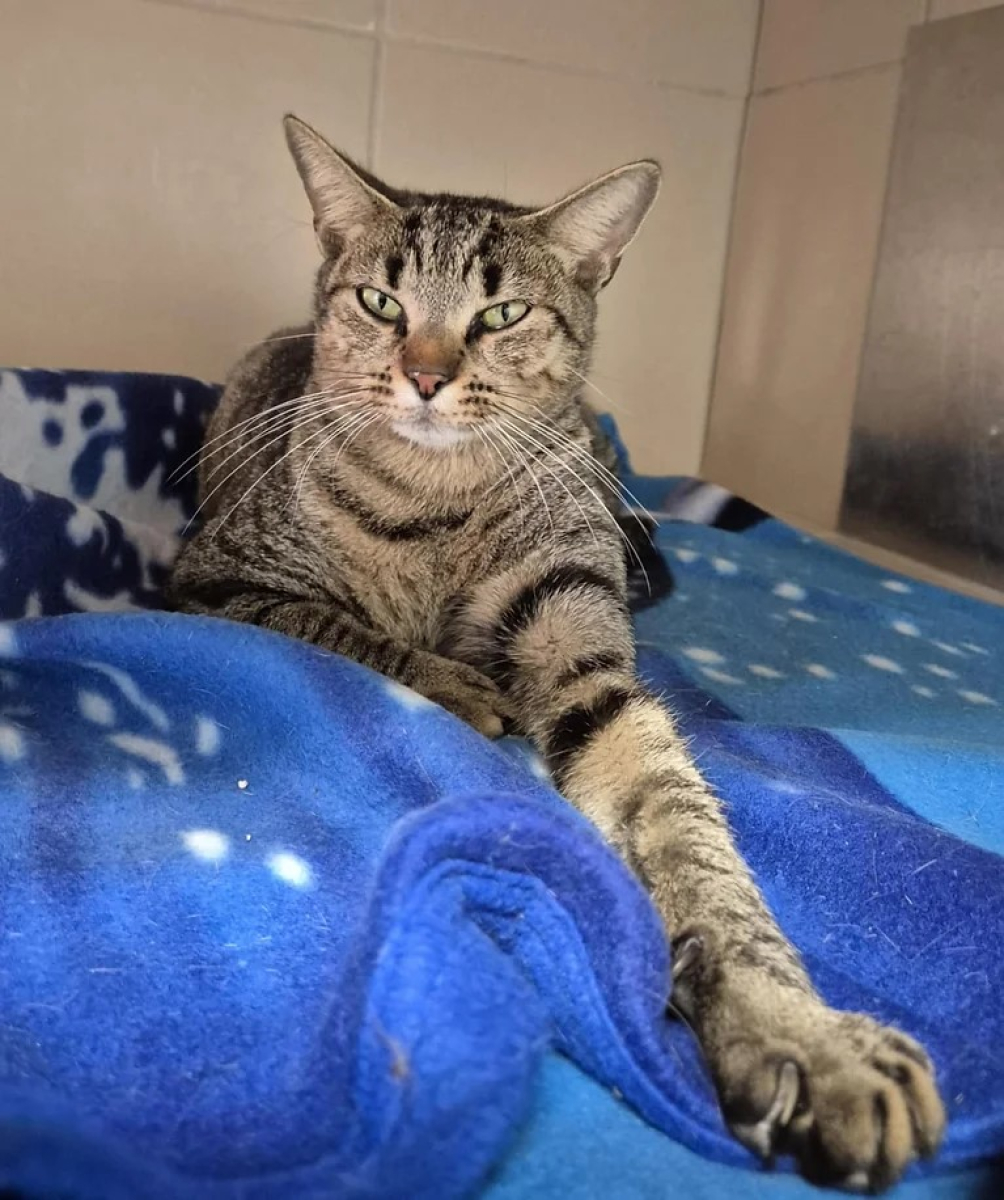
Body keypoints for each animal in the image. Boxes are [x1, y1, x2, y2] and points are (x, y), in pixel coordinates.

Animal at [167, 115, 944, 1190]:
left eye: (500, 313)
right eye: (380, 301)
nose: (425, 374)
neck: (437, 503)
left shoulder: (585, 654)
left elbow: (693, 843)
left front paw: (803, 1034)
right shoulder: (214, 578)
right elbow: (342, 626)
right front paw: (455, 682)